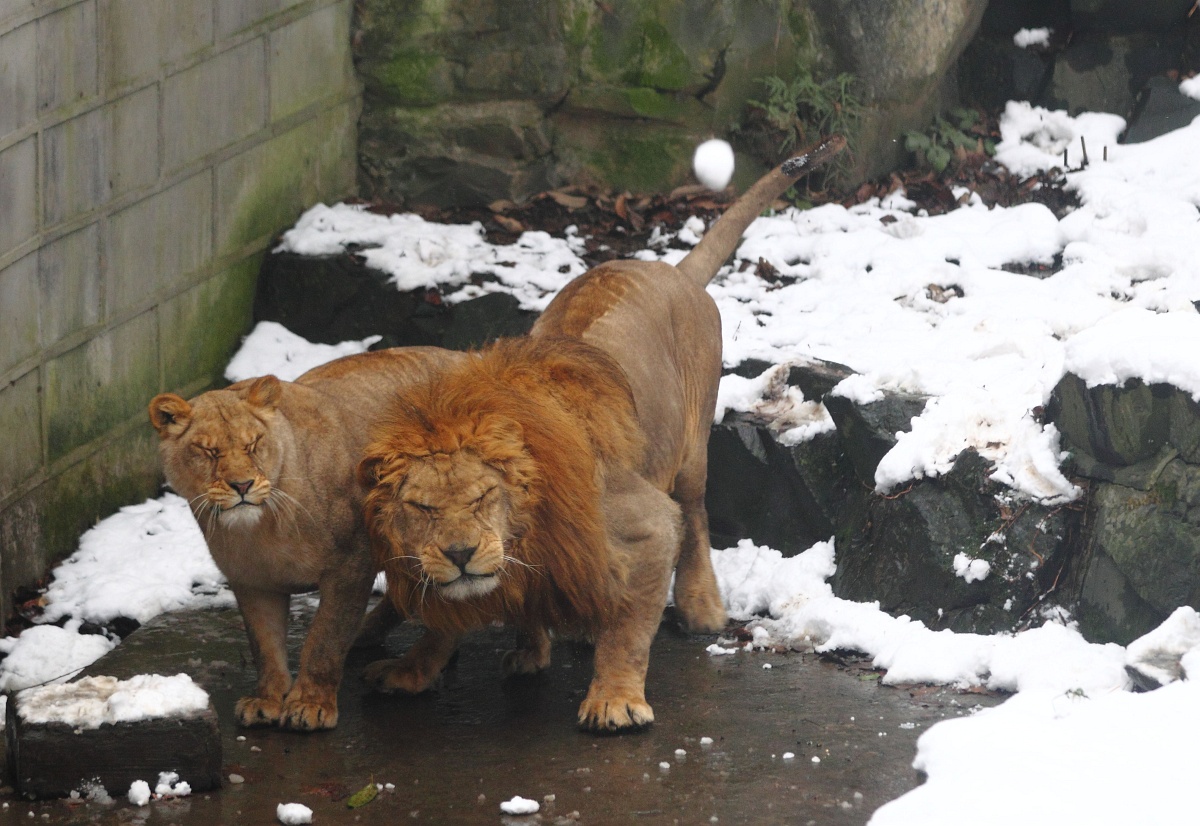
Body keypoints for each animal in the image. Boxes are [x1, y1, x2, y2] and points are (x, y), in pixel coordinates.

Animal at [148, 348, 463, 729]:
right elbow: (264, 645)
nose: (242, 485)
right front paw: (266, 699)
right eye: (209, 452)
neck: (261, 528)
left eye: (253, 444)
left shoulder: (350, 565)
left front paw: (310, 704)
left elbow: (324, 640)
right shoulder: (251, 580)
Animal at [355, 140, 844, 729]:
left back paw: (700, 607)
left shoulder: (649, 522)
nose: (459, 552)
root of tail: (672, 271)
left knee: (696, 513)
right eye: (421, 508)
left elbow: (629, 630)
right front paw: (412, 668)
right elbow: (445, 619)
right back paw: (533, 646)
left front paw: (614, 700)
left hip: (691, 448)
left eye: (483, 496)